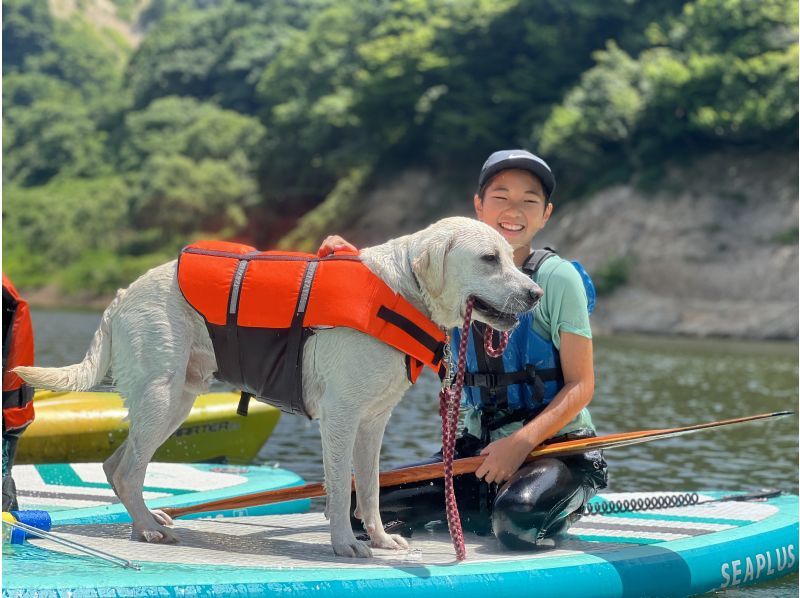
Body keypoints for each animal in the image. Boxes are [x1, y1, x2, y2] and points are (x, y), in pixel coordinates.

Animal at [15, 218, 544, 560]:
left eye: (509, 256)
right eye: (489, 259)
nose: (535, 294)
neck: (402, 293)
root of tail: (120, 295)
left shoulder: (373, 422)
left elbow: (370, 488)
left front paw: (379, 539)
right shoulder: (341, 416)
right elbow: (339, 488)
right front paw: (345, 543)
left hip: (177, 399)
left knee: (117, 465)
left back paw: (147, 520)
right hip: (162, 396)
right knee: (126, 470)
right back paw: (148, 528)